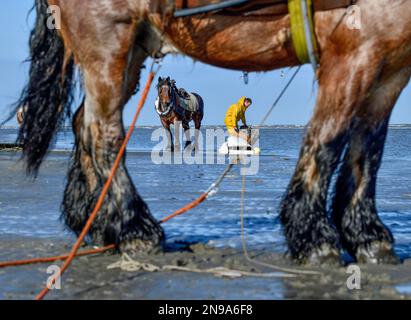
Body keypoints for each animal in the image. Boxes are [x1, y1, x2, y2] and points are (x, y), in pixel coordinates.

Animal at [15, 0, 411, 264]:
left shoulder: (389, 64)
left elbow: (369, 149)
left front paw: (366, 234)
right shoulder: (353, 50)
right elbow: (327, 142)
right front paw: (314, 236)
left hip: (130, 50)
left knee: (83, 122)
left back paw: (94, 222)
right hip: (107, 41)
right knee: (103, 133)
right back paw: (135, 228)